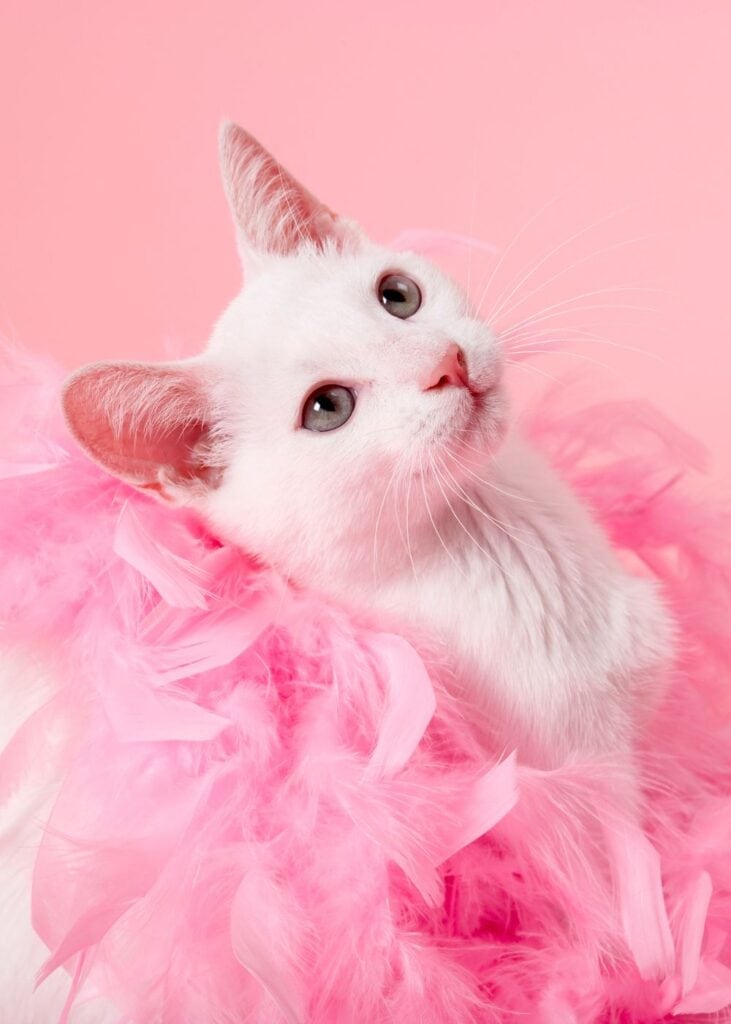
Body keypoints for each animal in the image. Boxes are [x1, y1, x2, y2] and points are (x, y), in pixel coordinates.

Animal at [2, 123, 667, 1019]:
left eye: (398, 296)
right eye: (328, 408)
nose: (446, 361)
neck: (504, 543)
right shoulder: (581, 799)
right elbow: (620, 924)